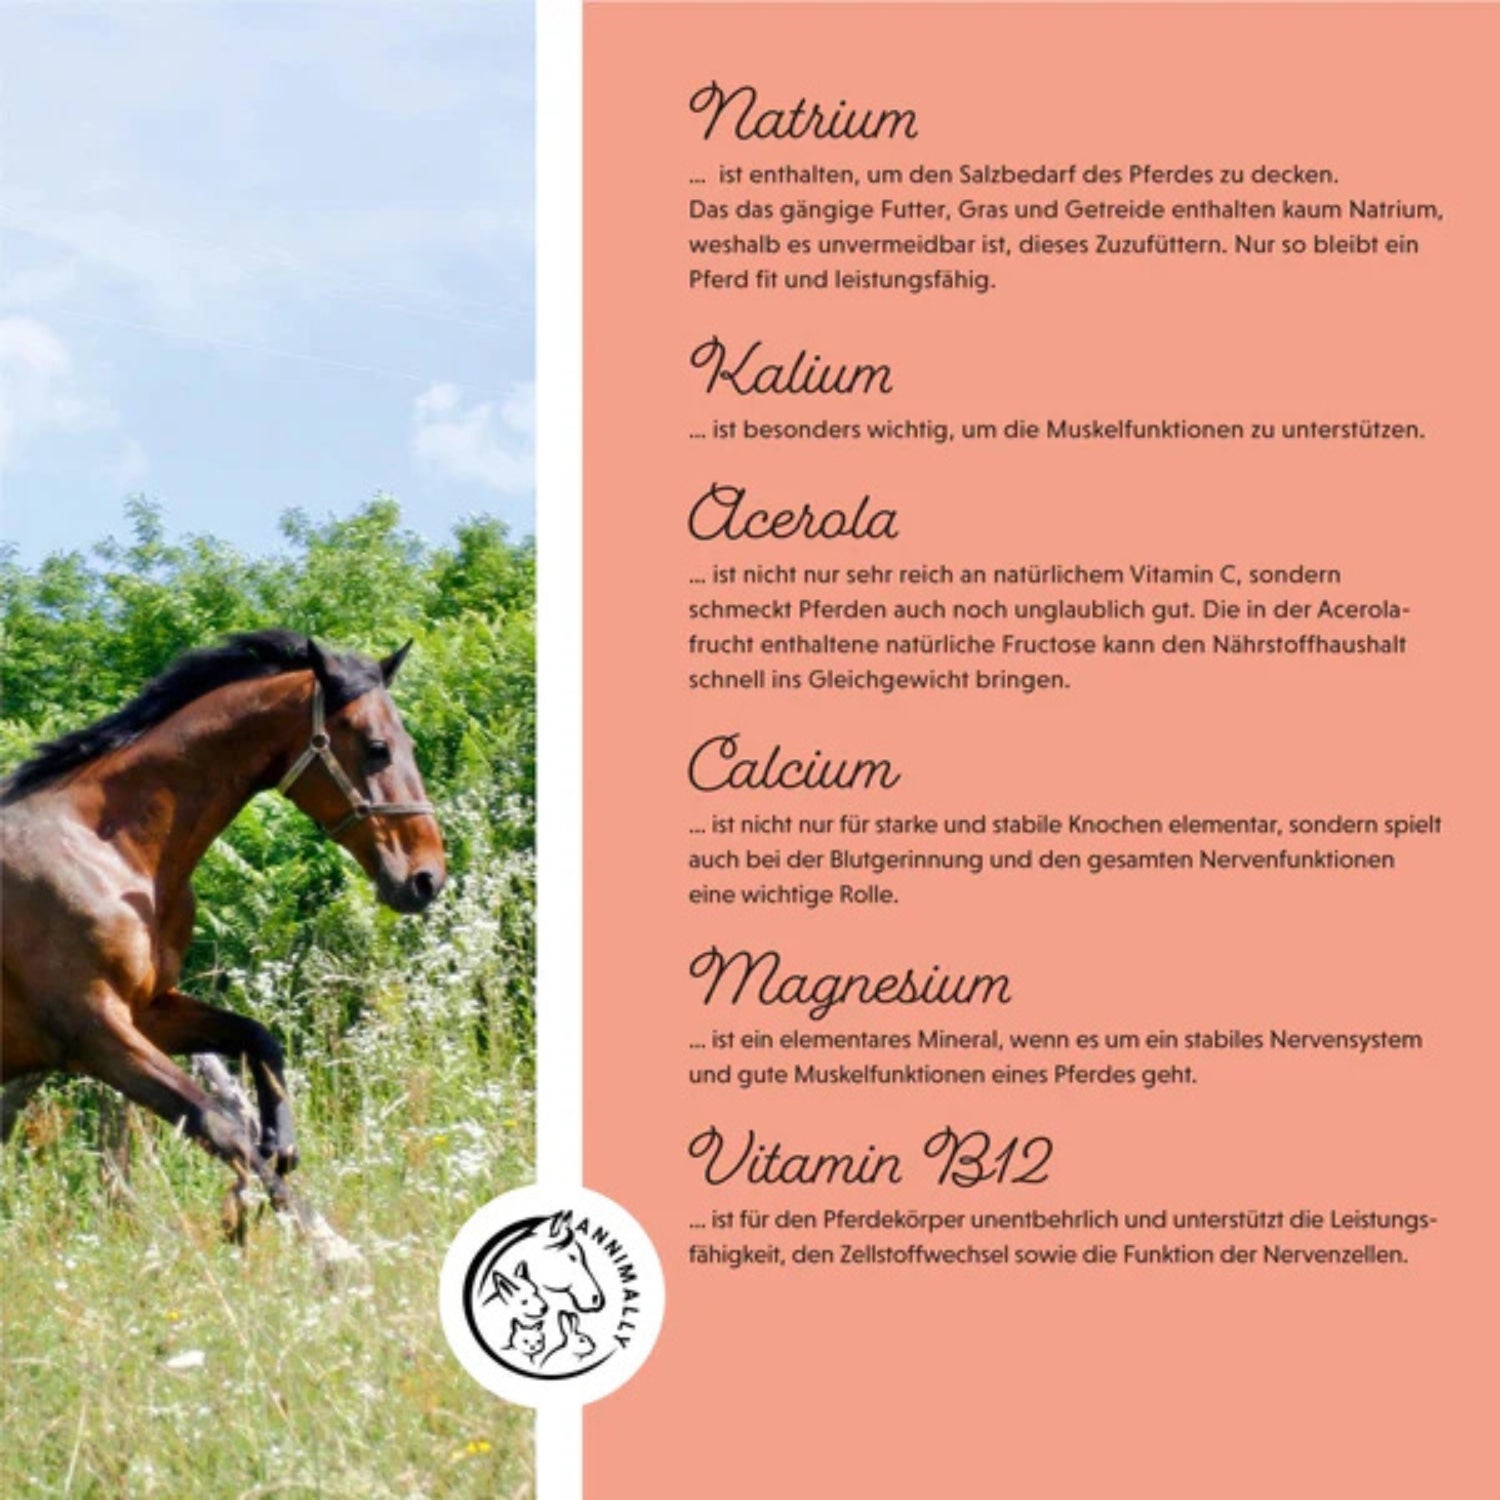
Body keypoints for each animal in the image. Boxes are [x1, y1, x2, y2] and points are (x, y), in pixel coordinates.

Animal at [0, 630, 445, 1233]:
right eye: (377, 747)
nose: (426, 878)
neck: (105, 853)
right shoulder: (95, 1033)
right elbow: (220, 1127)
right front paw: (325, 1244)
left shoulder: (148, 1010)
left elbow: (257, 1037)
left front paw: (281, 1141)